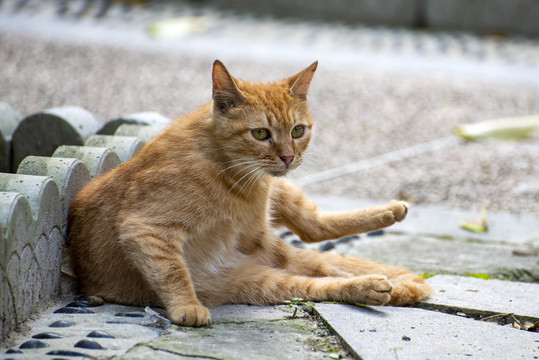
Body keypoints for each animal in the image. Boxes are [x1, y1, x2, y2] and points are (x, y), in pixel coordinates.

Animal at [68, 61, 430, 326]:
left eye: (298, 130)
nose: (288, 157)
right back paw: (375, 284)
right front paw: (187, 306)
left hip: (274, 224)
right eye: (260, 134)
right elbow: (171, 270)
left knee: (315, 235)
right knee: (319, 266)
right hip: (262, 277)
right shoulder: (144, 226)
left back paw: (391, 221)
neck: (226, 172)